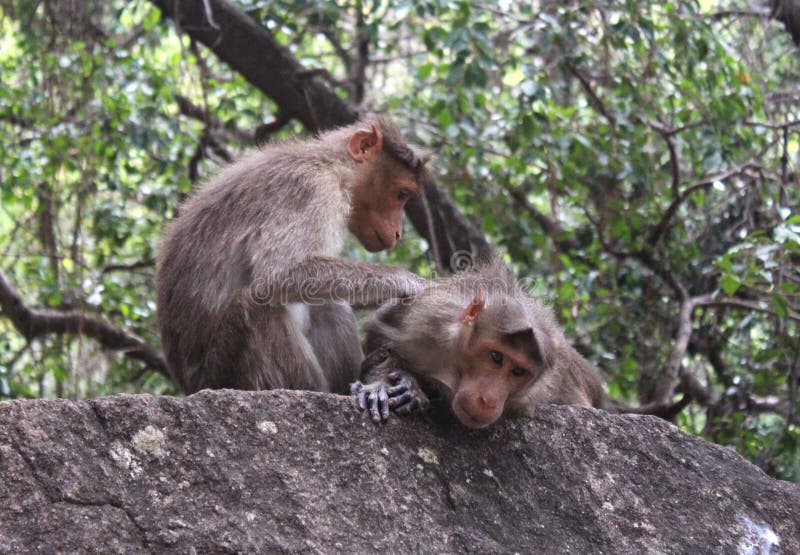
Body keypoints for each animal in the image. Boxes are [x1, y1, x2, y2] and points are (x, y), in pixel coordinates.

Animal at [156, 116, 432, 396]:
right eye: (401, 194)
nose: (398, 233)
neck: (331, 166)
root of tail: (190, 386)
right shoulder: (311, 189)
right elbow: (280, 273)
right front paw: (410, 282)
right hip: (224, 371)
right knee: (255, 303)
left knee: (325, 301)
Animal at [352, 262, 608, 430]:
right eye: (496, 357)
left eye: (518, 371)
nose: (489, 400)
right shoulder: (428, 315)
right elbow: (379, 328)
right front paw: (389, 382)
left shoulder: (543, 388)